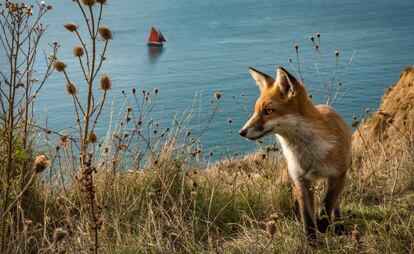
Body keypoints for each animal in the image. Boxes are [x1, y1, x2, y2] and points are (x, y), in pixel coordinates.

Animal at [239, 66, 352, 241]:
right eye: (256, 111)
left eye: (268, 111)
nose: (242, 132)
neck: (311, 155)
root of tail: (325, 106)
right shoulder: (300, 180)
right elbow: (307, 218)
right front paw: (310, 241)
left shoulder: (339, 173)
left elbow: (327, 203)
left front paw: (323, 225)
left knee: (335, 203)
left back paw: (338, 225)